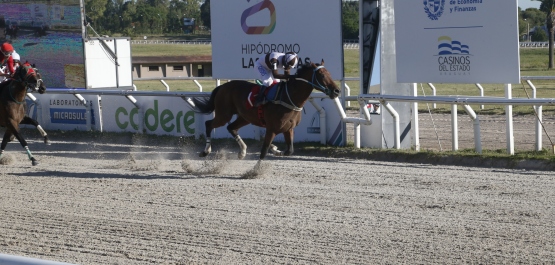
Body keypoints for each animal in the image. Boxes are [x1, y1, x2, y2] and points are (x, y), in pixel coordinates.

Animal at [193, 59, 340, 159]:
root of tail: (222, 87)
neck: (288, 97)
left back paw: (243, 151)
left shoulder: (288, 128)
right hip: (224, 115)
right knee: (209, 124)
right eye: (321, 75)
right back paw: (205, 151)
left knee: (231, 128)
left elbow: (289, 151)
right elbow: (265, 150)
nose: (337, 91)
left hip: (245, 117)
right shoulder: (272, 128)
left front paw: (275, 149)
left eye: (330, 74)